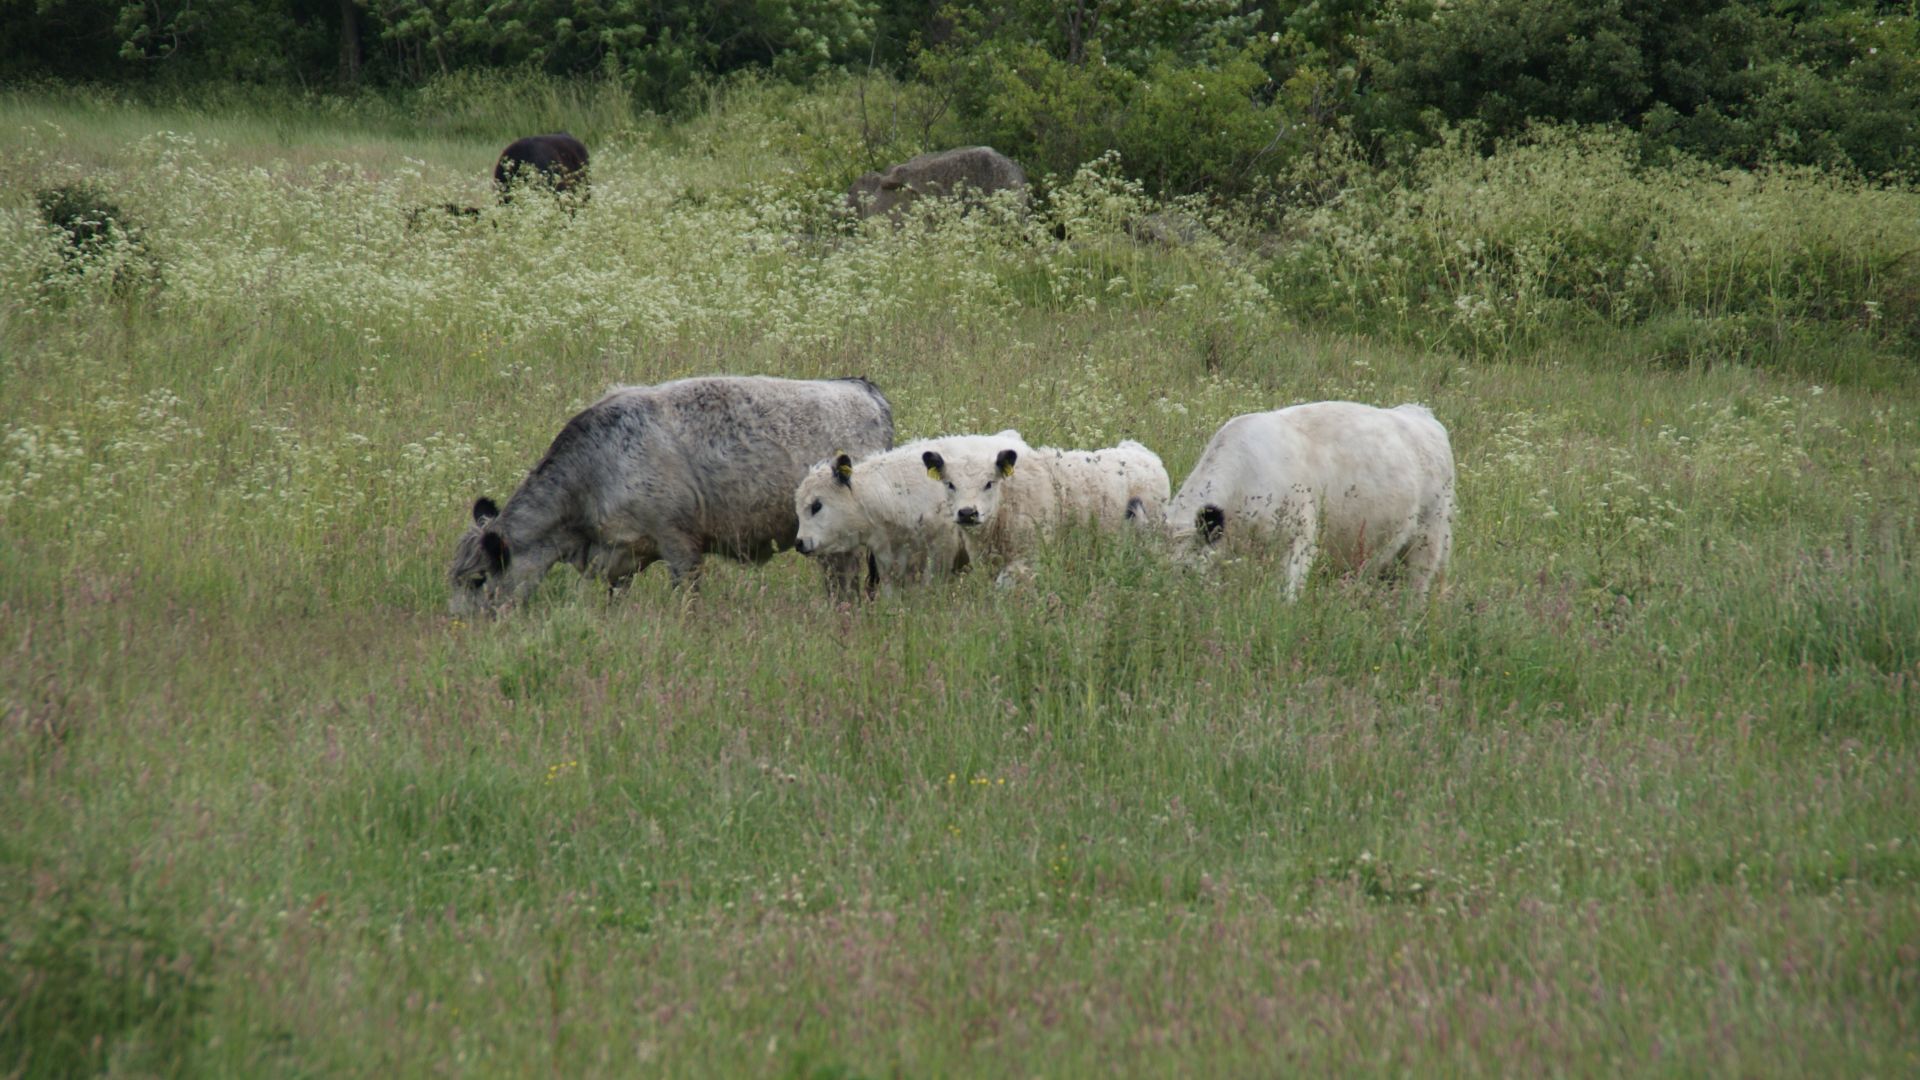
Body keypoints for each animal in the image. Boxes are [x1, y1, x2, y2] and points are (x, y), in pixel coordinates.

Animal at [449, 374, 890, 614]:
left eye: (477, 578)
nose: (462, 626)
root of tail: (864, 390)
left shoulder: (680, 546)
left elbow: (687, 600)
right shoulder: (619, 560)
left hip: (841, 548)